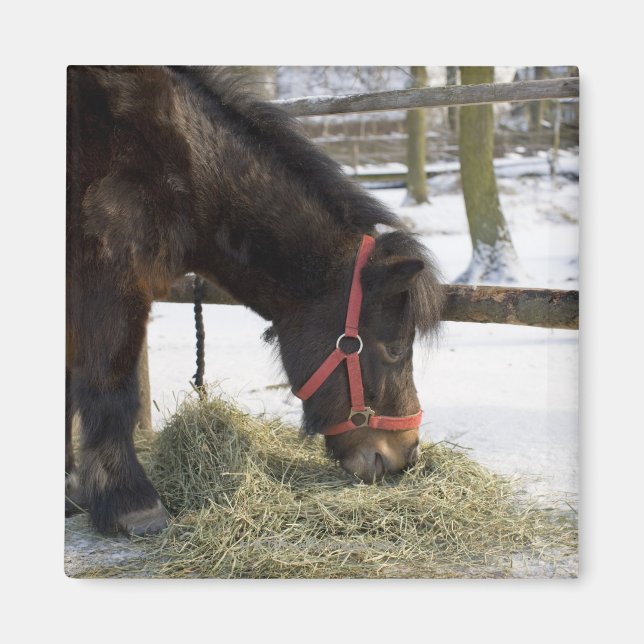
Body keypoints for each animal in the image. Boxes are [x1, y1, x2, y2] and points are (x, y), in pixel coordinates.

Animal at [66, 66, 444, 536]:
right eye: (393, 348)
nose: (406, 455)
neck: (175, 162)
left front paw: (69, 489)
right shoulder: (110, 284)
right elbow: (112, 386)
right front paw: (130, 504)